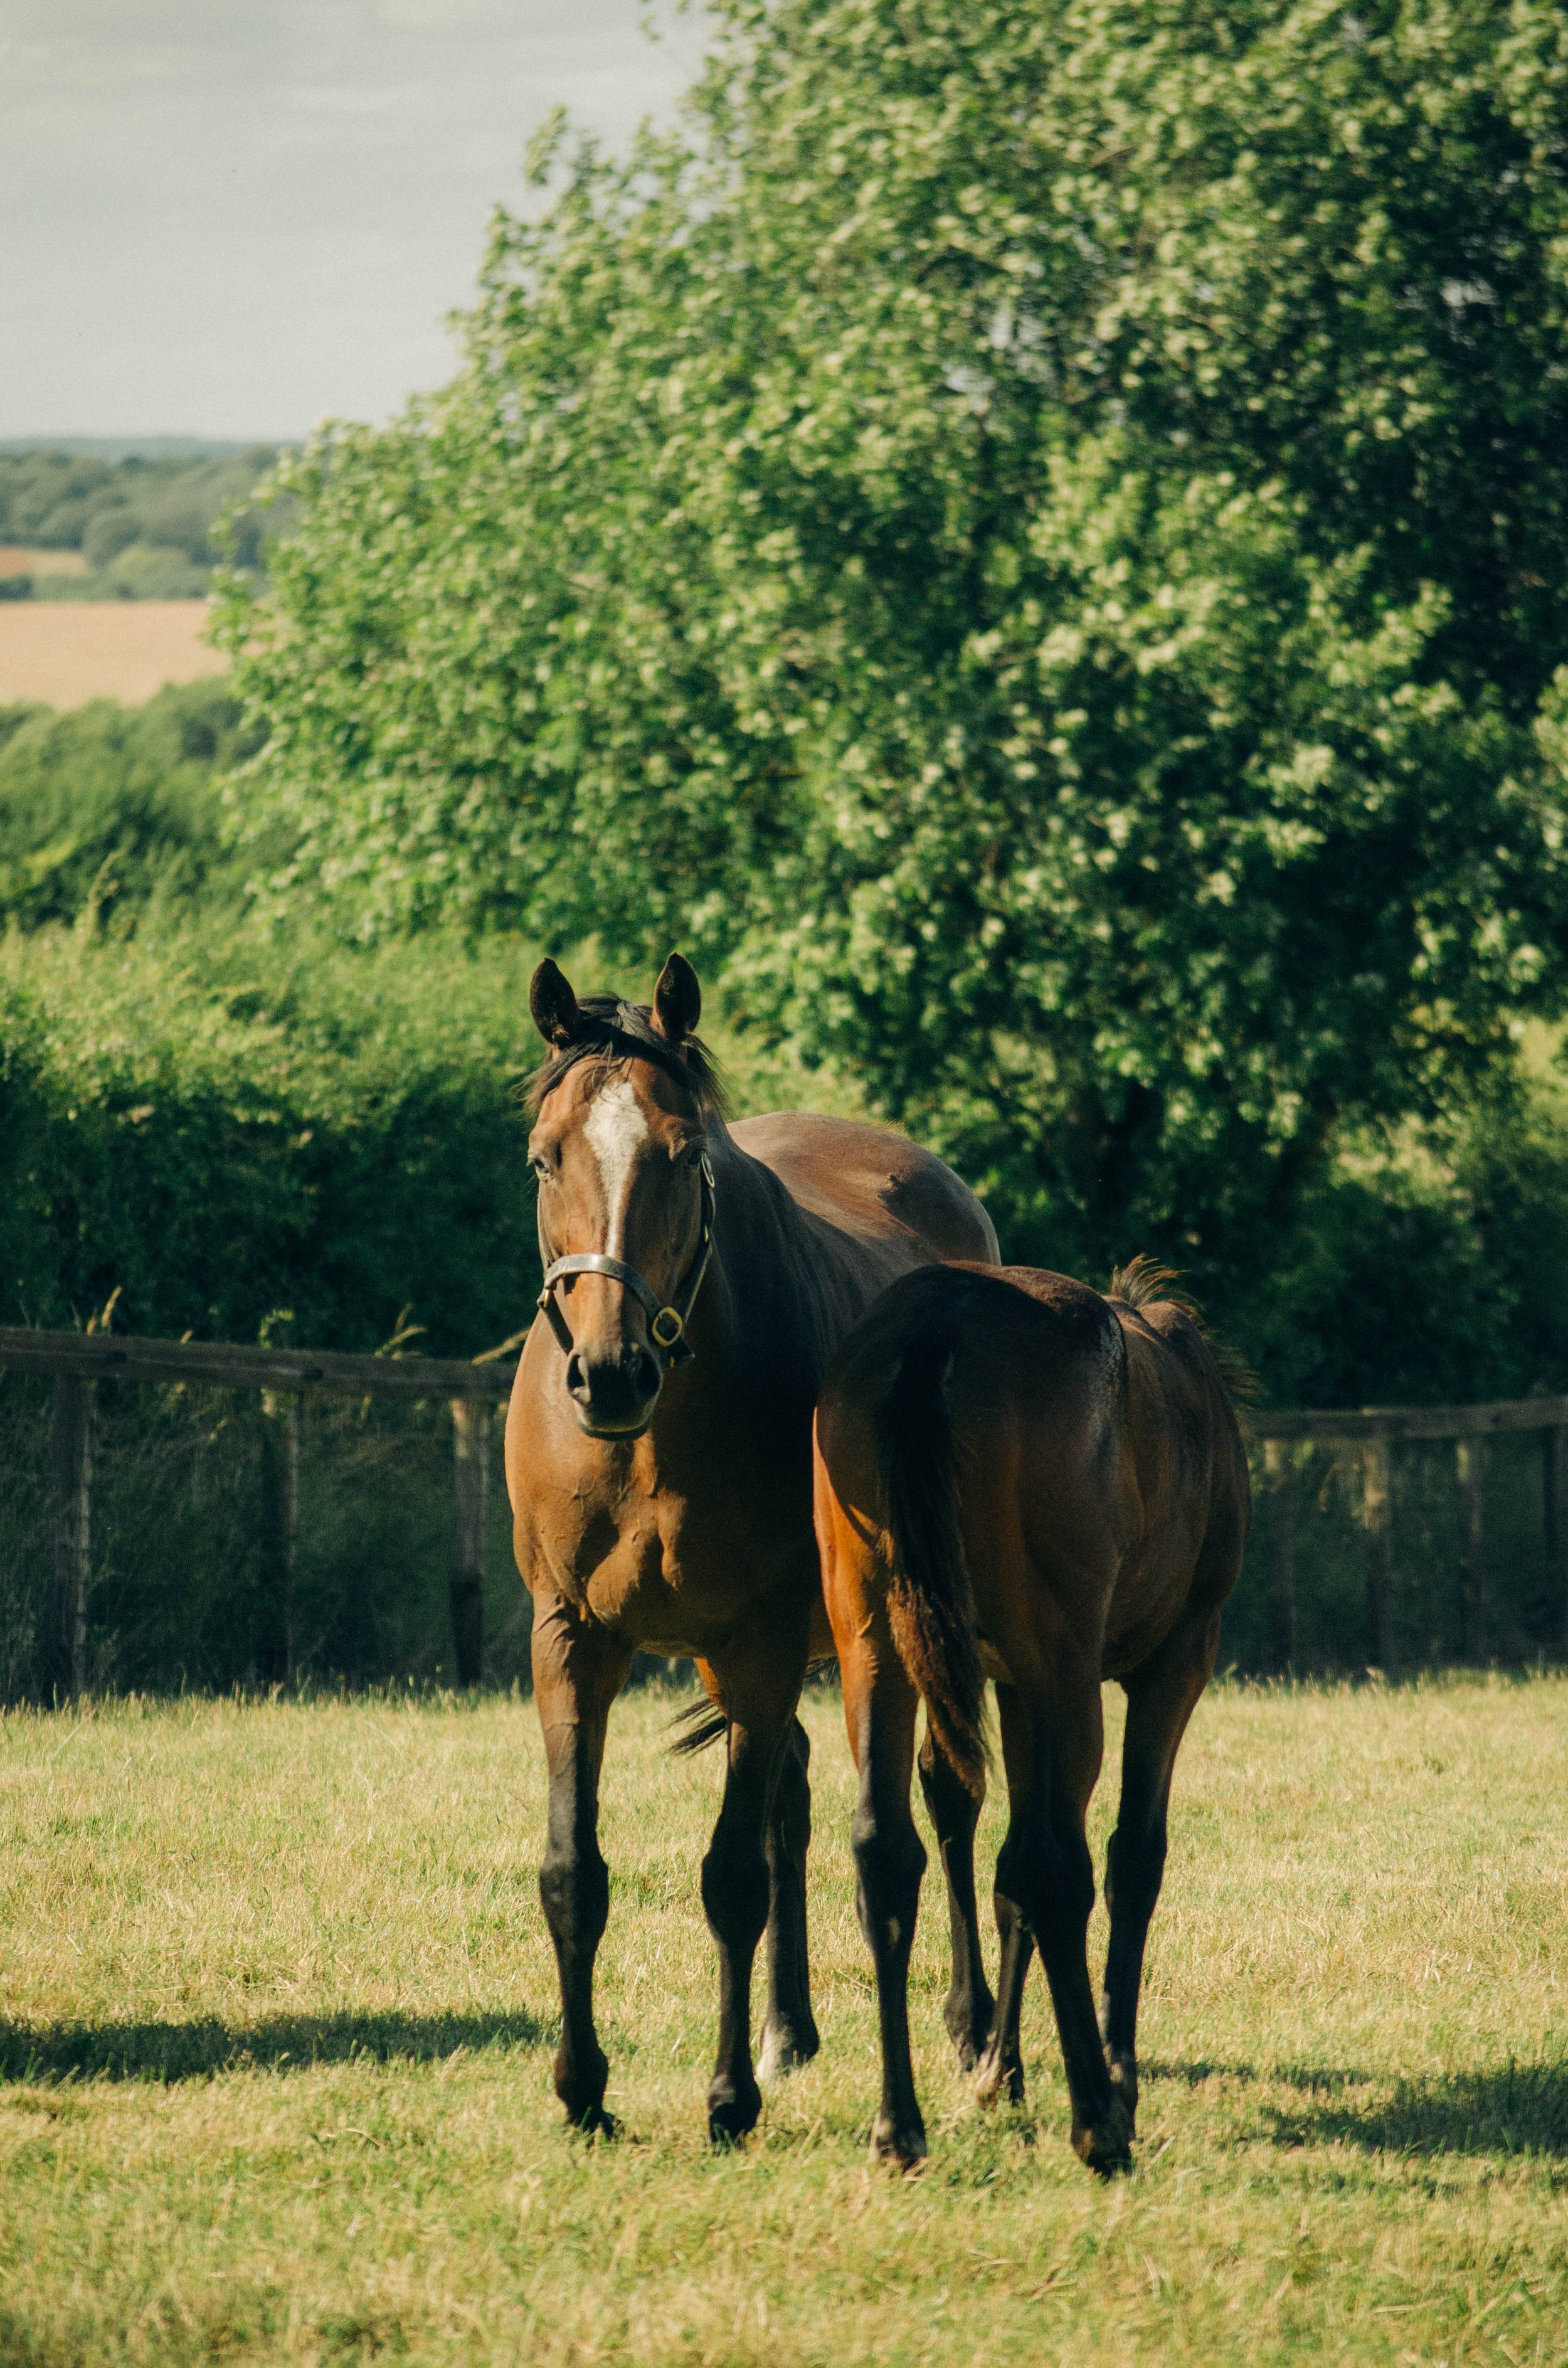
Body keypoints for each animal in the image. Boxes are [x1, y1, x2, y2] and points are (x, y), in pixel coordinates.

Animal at [504, 953, 999, 2144]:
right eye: (544, 1158)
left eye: (686, 1156)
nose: (609, 1373)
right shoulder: (570, 1639)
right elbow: (572, 1870)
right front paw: (583, 2089)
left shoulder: (761, 1641)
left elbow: (730, 1876)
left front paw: (725, 2098)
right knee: (795, 1801)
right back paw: (789, 2029)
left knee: (944, 1795)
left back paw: (969, 2027)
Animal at [812, 1255, 1251, 2172]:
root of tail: (937, 1321)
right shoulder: (1175, 1662)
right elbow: (1128, 1858)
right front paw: (1113, 2072)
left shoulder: (1009, 1682)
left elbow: (1003, 1867)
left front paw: (997, 2066)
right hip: (1066, 1667)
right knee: (1057, 1865)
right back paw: (1097, 2119)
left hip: (873, 1638)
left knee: (887, 1849)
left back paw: (899, 2125)